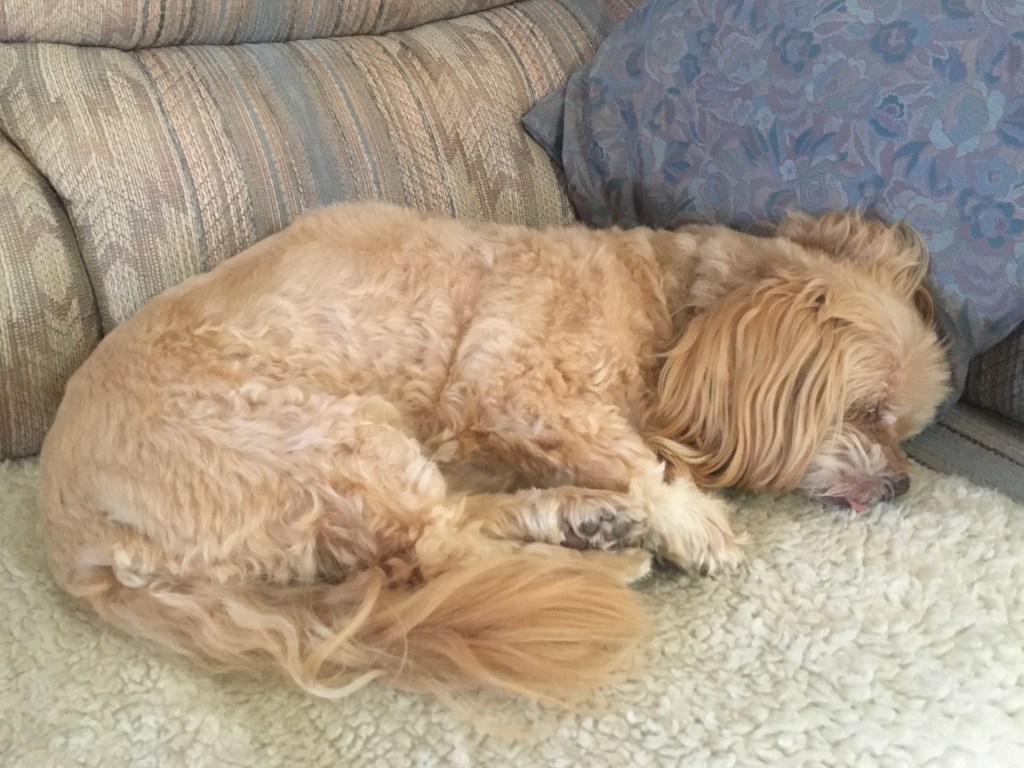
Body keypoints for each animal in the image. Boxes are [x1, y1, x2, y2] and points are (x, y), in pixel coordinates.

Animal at [39, 202, 950, 704]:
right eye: (866, 413)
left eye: (905, 429)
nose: (903, 486)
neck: (677, 315)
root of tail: (73, 541)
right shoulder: (510, 387)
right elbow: (634, 455)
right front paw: (695, 520)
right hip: (320, 433)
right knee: (438, 553)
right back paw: (603, 559)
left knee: (446, 530)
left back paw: (583, 522)